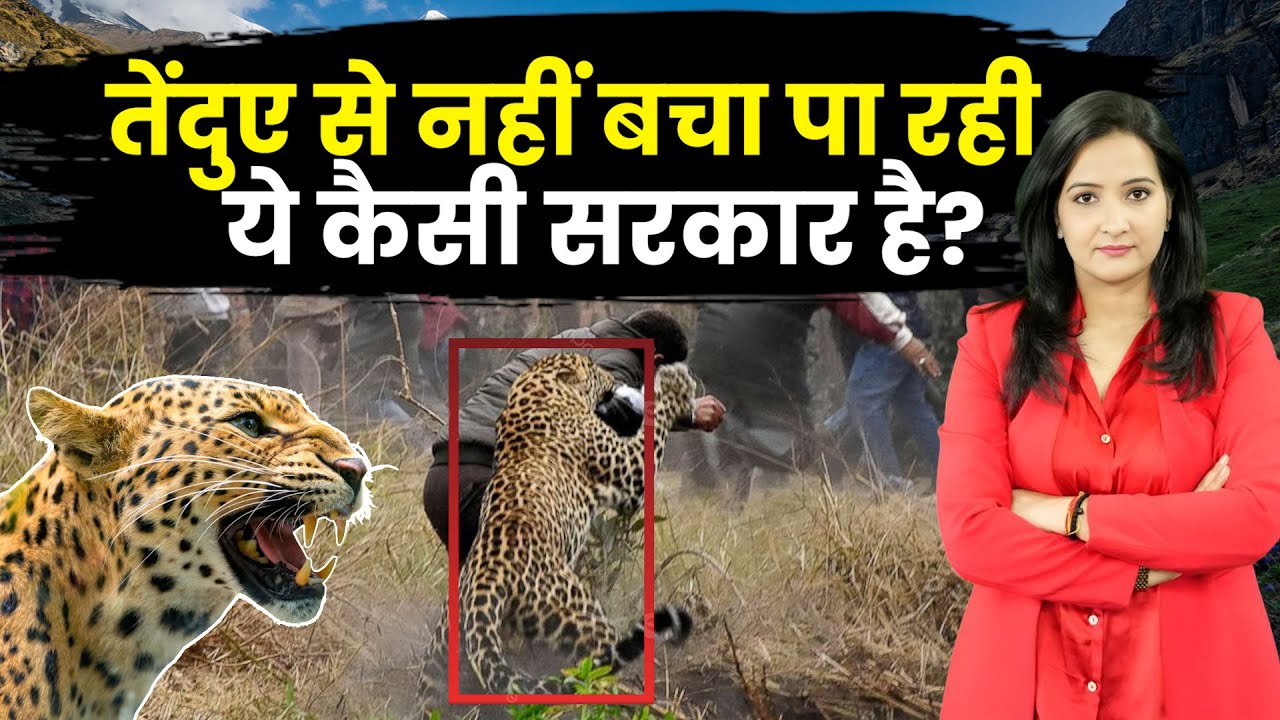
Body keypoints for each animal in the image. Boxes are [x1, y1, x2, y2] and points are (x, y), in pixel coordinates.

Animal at [418, 352, 698, 701]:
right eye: (595, 370)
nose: (612, 378)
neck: (536, 390)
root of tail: (486, 581)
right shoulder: (628, 470)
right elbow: (654, 426)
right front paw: (674, 386)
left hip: (441, 654)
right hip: (578, 616)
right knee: (594, 668)